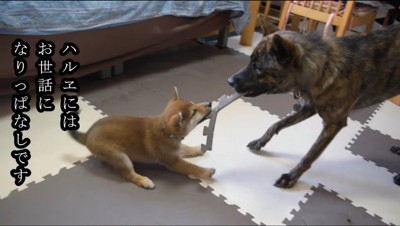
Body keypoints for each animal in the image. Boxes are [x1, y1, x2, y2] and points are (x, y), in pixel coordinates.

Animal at [69, 88, 214, 189]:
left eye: (194, 104)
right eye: (194, 112)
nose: (210, 103)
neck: (165, 131)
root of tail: (87, 134)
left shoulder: (176, 149)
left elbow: (186, 148)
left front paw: (198, 148)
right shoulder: (173, 161)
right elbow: (192, 167)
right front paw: (206, 172)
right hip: (120, 156)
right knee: (127, 175)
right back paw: (144, 181)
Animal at [228, 17, 400, 188]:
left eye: (258, 68)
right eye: (250, 61)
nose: (229, 81)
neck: (323, 68)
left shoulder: (333, 124)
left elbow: (310, 155)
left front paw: (291, 177)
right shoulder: (308, 107)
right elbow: (276, 124)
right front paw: (260, 141)